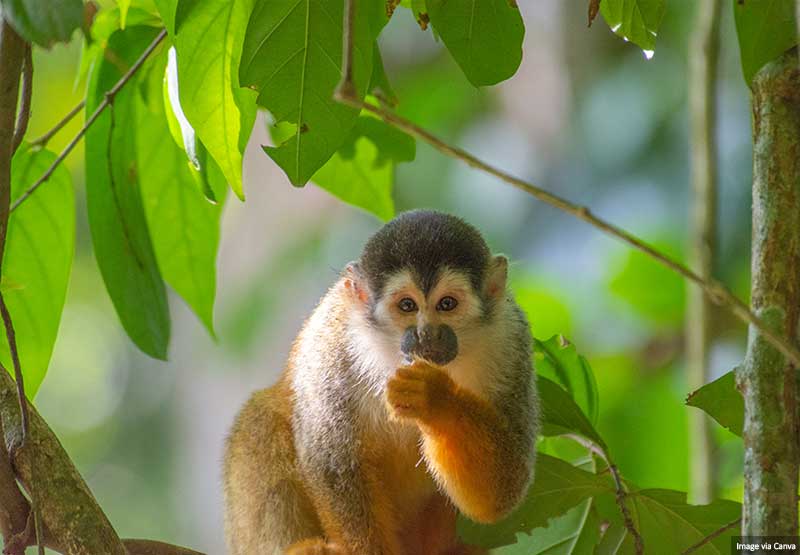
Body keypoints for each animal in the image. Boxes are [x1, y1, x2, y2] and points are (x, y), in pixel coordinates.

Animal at [223, 210, 539, 555]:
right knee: (260, 420)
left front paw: (434, 399)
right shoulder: (333, 344)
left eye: (447, 304)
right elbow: (332, 461)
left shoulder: (511, 338)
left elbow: (503, 489)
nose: (427, 335)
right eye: (407, 306)